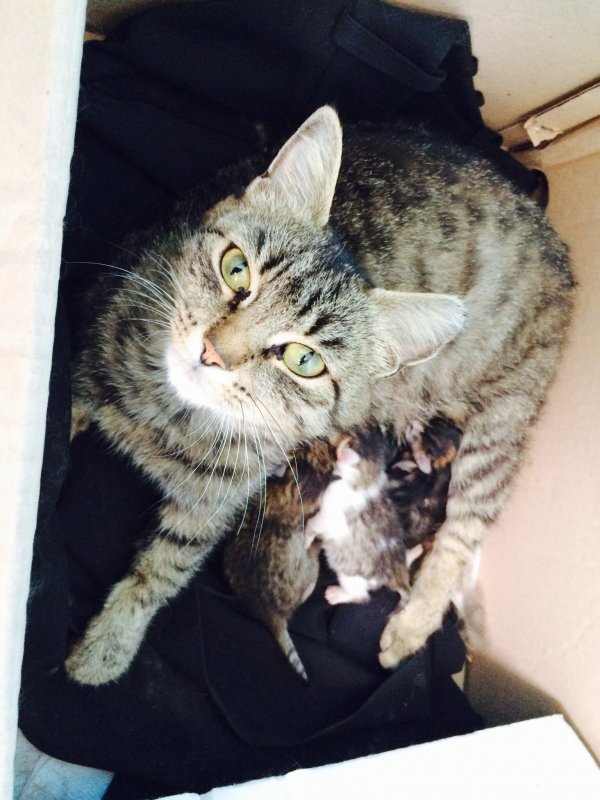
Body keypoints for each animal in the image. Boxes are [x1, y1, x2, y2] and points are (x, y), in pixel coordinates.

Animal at [65, 106, 573, 685]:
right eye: (235, 267)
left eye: (303, 360)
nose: (212, 353)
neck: (169, 412)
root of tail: (556, 243)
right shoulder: (94, 331)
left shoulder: (215, 501)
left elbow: (165, 566)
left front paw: (109, 644)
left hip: (502, 421)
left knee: (465, 531)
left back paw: (409, 628)